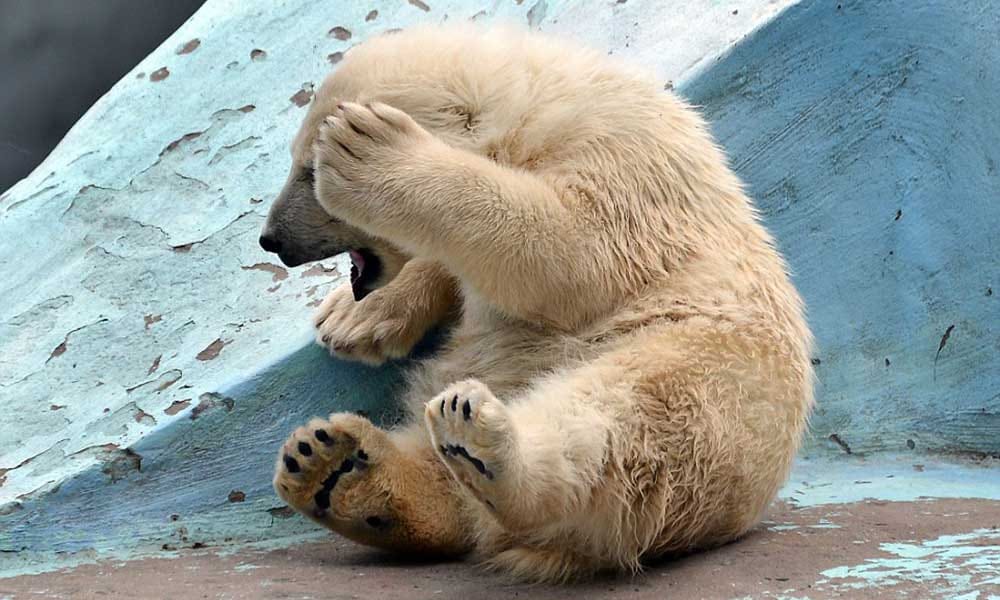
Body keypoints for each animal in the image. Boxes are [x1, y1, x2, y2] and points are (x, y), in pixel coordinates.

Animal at [259, 23, 814, 582]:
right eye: (294, 159)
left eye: (309, 169)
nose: (272, 240)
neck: (535, 108)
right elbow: (457, 267)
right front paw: (351, 317)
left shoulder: (621, 158)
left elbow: (573, 252)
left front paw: (371, 151)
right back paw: (334, 468)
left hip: (703, 375)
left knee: (619, 420)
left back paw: (486, 448)